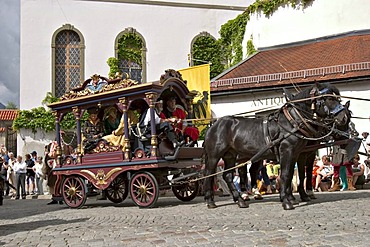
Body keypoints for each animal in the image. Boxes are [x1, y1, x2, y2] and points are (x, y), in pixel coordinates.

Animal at [204, 82, 348, 209]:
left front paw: (290, 198)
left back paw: (239, 200)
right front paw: (287, 201)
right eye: (329, 98)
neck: (292, 122)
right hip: (214, 156)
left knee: (228, 176)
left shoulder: (295, 153)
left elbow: (290, 174)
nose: (343, 118)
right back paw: (211, 201)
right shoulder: (288, 151)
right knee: (209, 174)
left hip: (230, 155)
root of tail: (214, 125)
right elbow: (285, 175)